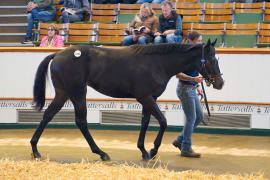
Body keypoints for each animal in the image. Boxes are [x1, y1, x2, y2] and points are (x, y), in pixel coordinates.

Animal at [30, 39, 224, 160]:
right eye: (211, 60)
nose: (220, 83)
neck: (157, 63)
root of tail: (57, 54)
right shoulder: (145, 97)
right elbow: (163, 121)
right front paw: (153, 150)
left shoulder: (149, 99)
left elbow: (145, 122)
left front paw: (144, 151)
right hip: (77, 93)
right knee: (81, 121)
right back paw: (101, 153)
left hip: (63, 93)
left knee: (48, 115)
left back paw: (35, 150)